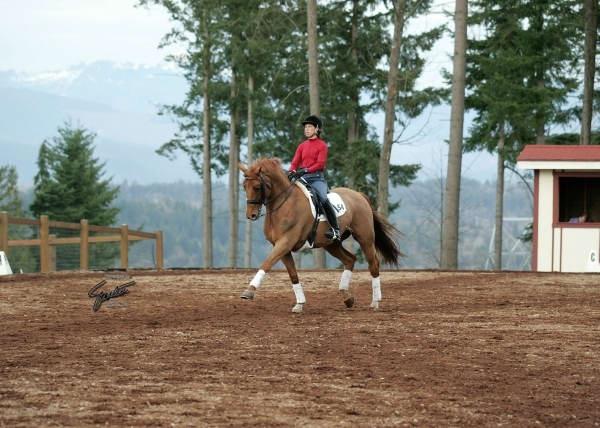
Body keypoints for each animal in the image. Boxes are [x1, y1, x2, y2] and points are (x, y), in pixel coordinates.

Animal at [238, 159, 398, 312]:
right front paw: (299, 304)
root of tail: (359, 195)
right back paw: (347, 297)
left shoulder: (285, 242)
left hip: (365, 238)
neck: (284, 204)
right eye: (244, 186)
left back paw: (375, 302)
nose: (251, 215)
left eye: (257, 187)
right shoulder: (282, 247)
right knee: (350, 259)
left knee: (373, 264)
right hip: (331, 244)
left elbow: (266, 263)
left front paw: (249, 292)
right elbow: (293, 274)